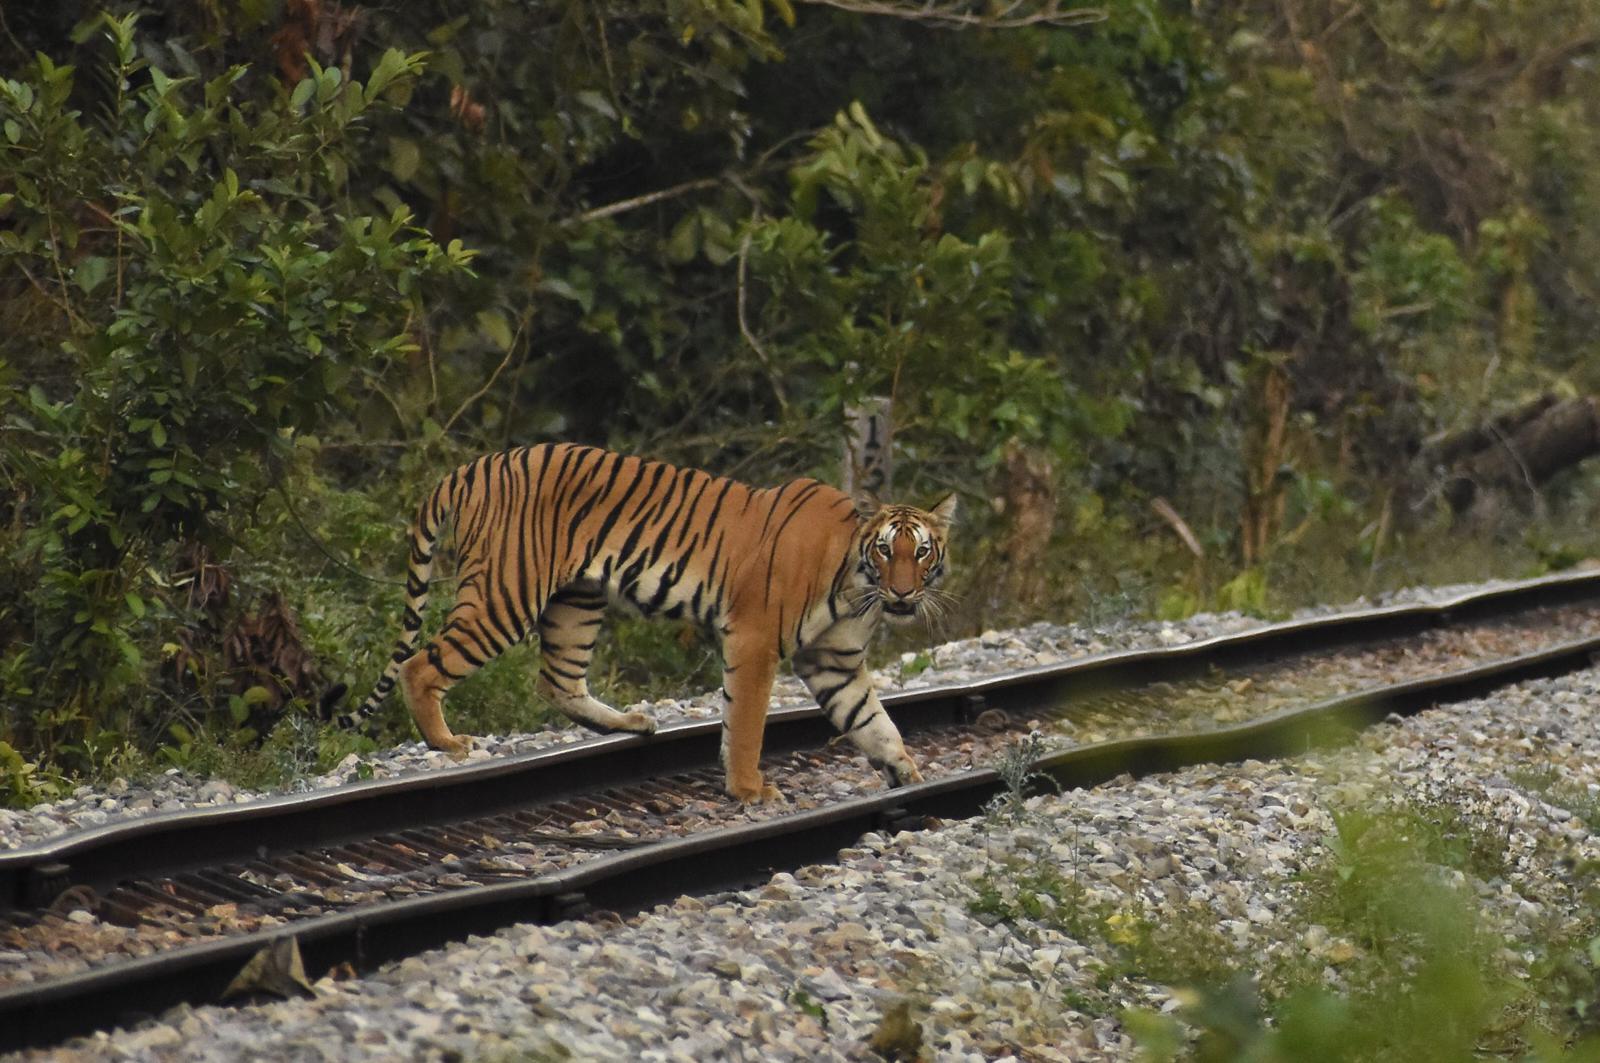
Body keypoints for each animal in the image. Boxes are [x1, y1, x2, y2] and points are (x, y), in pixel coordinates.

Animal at [338, 443, 957, 803]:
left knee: (556, 680)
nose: (904, 591)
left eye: (922, 551)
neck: (857, 587)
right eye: (886, 550)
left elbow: (874, 721)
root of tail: (471, 468)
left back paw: (631, 723)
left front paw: (907, 772)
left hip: (577, 600)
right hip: (506, 594)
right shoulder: (754, 641)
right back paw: (446, 742)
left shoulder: (835, 662)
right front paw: (750, 790)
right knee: (421, 665)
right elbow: (747, 722)